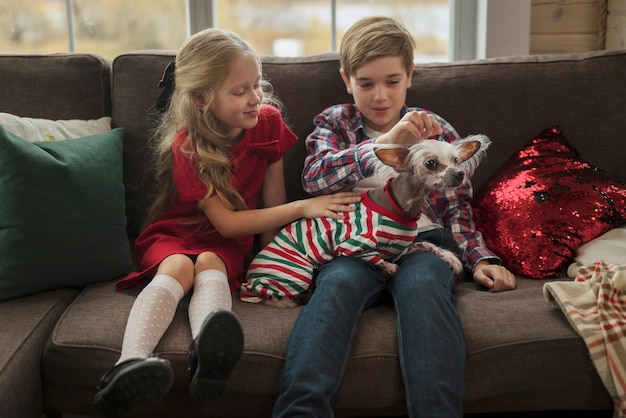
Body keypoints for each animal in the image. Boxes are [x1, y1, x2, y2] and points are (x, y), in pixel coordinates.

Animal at [239, 136, 488, 308]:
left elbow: (427, 244)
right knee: (269, 298)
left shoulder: (403, 248)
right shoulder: (351, 245)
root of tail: (249, 277)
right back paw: (293, 300)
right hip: (297, 274)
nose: (459, 174)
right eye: (431, 163)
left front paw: (450, 258)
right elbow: (377, 257)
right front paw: (389, 268)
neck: (401, 208)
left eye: (455, 160)